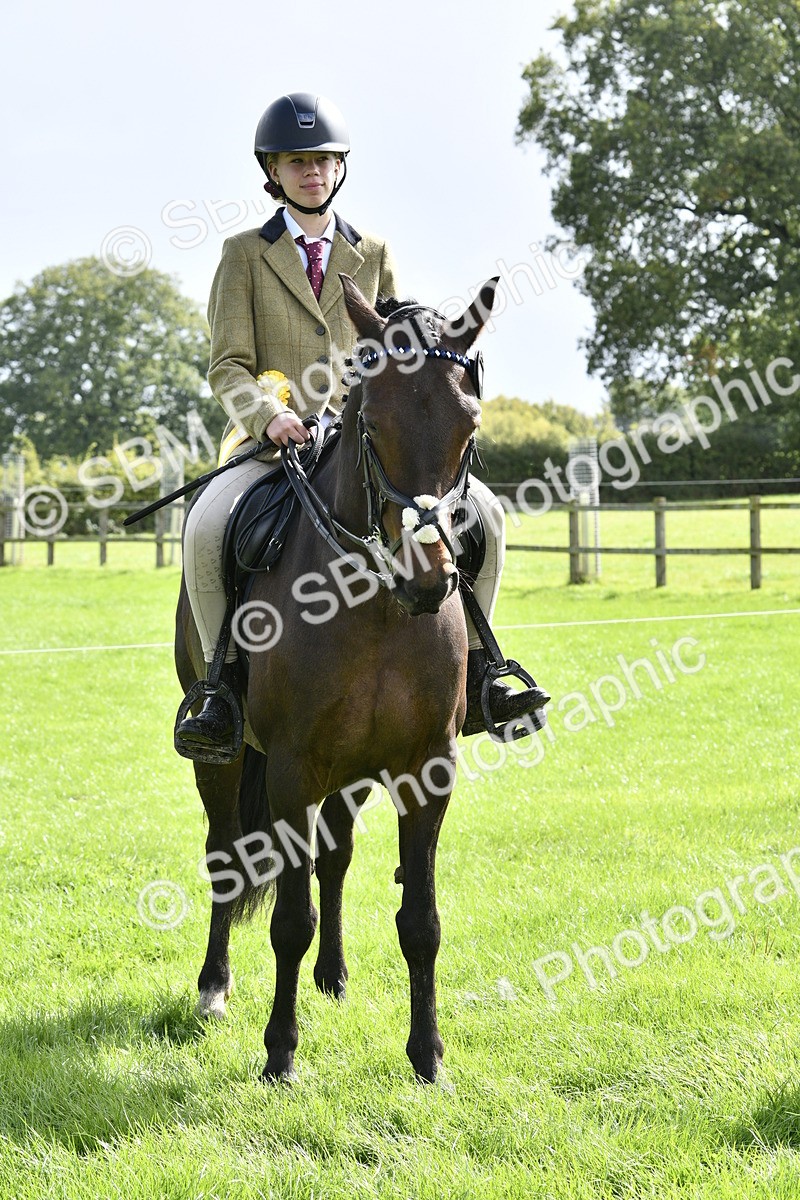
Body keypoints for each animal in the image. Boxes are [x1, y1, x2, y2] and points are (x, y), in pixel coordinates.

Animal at [174, 274, 499, 1083]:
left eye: (469, 425)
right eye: (371, 424)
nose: (427, 580)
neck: (378, 605)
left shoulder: (427, 768)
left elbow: (421, 920)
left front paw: (427, 1057)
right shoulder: (292, 770)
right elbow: (289, 918)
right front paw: (280, 1055)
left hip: (352, 769)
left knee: (338, 855)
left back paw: (334, 976)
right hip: (228, 759)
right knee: (226, 856)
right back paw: (214, 988)